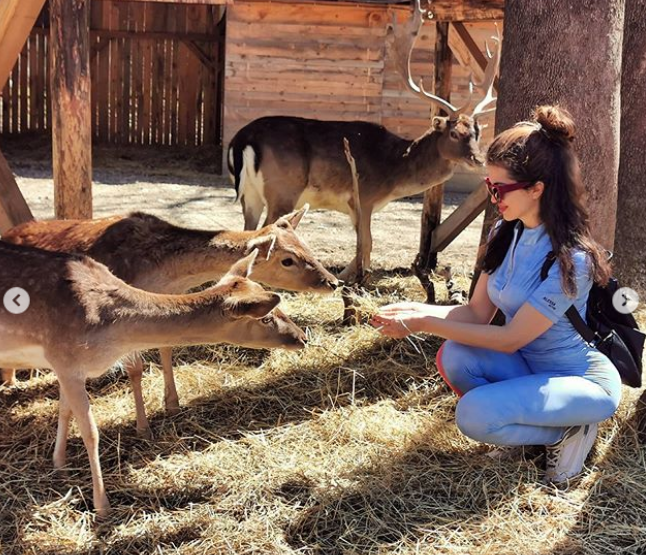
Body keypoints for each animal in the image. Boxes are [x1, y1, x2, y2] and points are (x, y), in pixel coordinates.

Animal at [0, 244, 308, 516]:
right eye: (265, 317)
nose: (302, 337)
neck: (110, 337)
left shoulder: (66, 366)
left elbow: (64, 411)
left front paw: (59, 464)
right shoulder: (64, 357)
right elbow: (91, 433)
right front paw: (102, 507)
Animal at [2, 206, 340, 436]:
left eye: (307, 247)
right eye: (287, 259)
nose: (333, 282)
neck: (167, 275)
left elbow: (167, 349)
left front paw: (173, 403)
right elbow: (136, 368)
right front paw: (143, 427)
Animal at [227, 0, 502, 278]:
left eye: (477, 132)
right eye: (454, 133)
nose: (478, 159)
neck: (394, 171)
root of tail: (242, 139)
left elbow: (365, 244)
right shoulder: (364, 196)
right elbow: (367, 242)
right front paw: (348, 276)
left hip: (250, 193)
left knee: (247, 229)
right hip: (283, 188)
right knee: (267, 228)